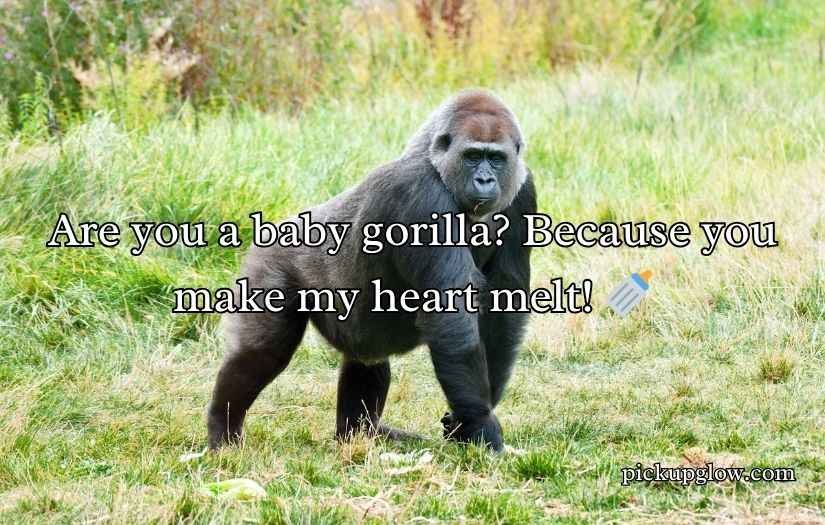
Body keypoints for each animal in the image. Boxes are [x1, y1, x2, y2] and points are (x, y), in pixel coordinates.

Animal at [207, 90, 536, 452]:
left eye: (496, 159)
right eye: (473, 156)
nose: (485, 179)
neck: (437, 164)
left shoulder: (523, 189)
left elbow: (504, 306)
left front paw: (468, 418)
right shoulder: (421, 195)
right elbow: (450, 311)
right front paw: (479, 423)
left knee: (367, 360)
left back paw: (360, 435)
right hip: (272, 259)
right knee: (262, 353)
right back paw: (223, 430)